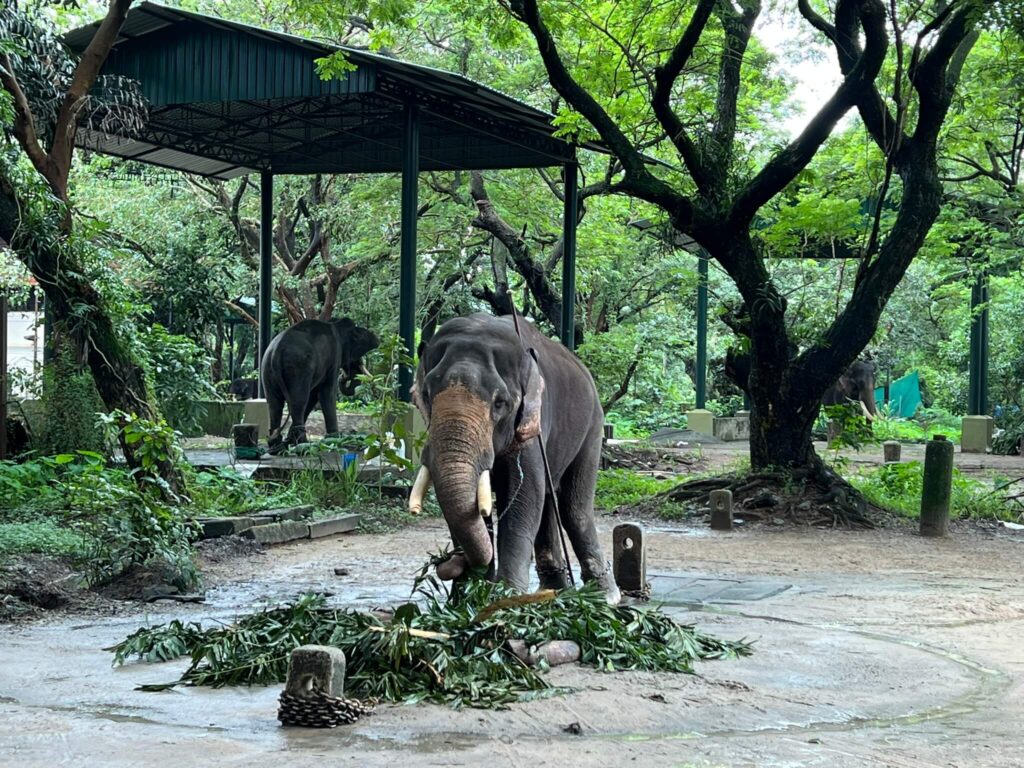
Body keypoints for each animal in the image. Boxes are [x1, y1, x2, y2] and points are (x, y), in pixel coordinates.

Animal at [260, 318, 379, 453]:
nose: (344, 375)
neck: (336, 324)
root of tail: (276, 352)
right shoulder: (334, 357)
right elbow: (326, 393)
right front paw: (335, 439)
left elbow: (313, 396)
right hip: (298, 368)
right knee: (298, 402)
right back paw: (302, 443)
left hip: (267, 370)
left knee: (274, 404)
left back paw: (277, 445)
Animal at [407, 313, 620, 604]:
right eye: (427, 395)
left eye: (500, 403)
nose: (447, 564)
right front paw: (467, 599)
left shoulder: (533, 425)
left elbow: (523, 493)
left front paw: (506, 598)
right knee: (548, 501)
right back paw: (554, 591)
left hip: (593, 427)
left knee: (574, 508)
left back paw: (604, 596)